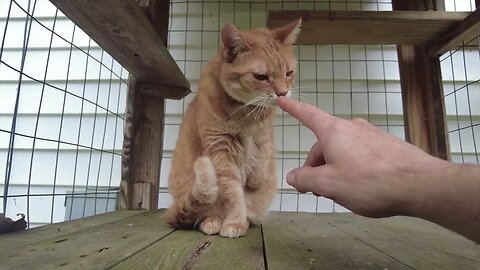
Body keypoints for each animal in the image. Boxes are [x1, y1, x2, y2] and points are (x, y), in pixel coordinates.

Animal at [165, 19, 300, 238]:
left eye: (289, 73)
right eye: (261, 77)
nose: (283, 93)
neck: (246, 115)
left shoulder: (265, 136)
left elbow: (263, 156)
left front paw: (256, 179)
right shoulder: (221, 153)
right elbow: (234, 193)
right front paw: (235, 222)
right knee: (200, 214)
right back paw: (213, 222)